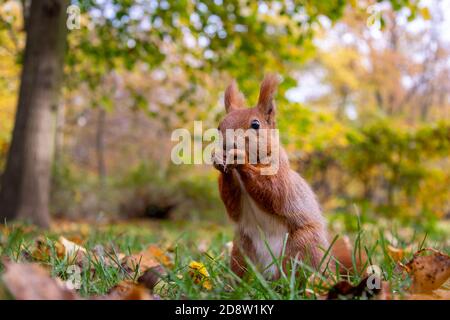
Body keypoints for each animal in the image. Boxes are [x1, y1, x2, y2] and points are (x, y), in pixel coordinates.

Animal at [213, 74, 328, 278]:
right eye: (219, 126)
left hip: (304, 244)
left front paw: (240, 159)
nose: (226, 145)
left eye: (255, 124)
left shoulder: (280, 176)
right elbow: (232, 204)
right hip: (242, 249)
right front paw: (218, 161)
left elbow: (273, 192)